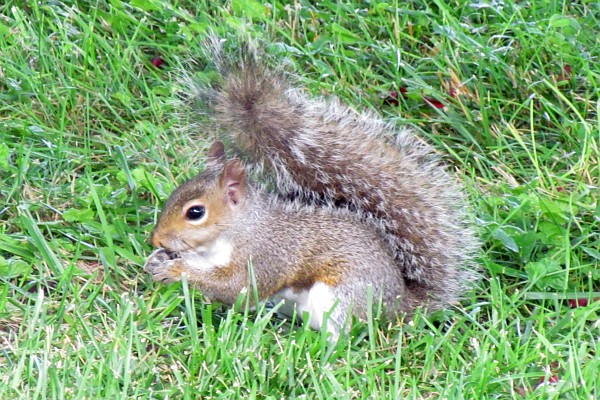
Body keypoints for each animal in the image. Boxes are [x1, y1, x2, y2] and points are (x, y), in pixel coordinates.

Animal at [143, 38, 480, 338]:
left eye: (195, 212)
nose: (155, 239)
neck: (239, 230)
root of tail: (398, 307)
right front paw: (158, 261)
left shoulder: (266, 255)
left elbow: (238, 287)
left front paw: (176, 271)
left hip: (343, 300)